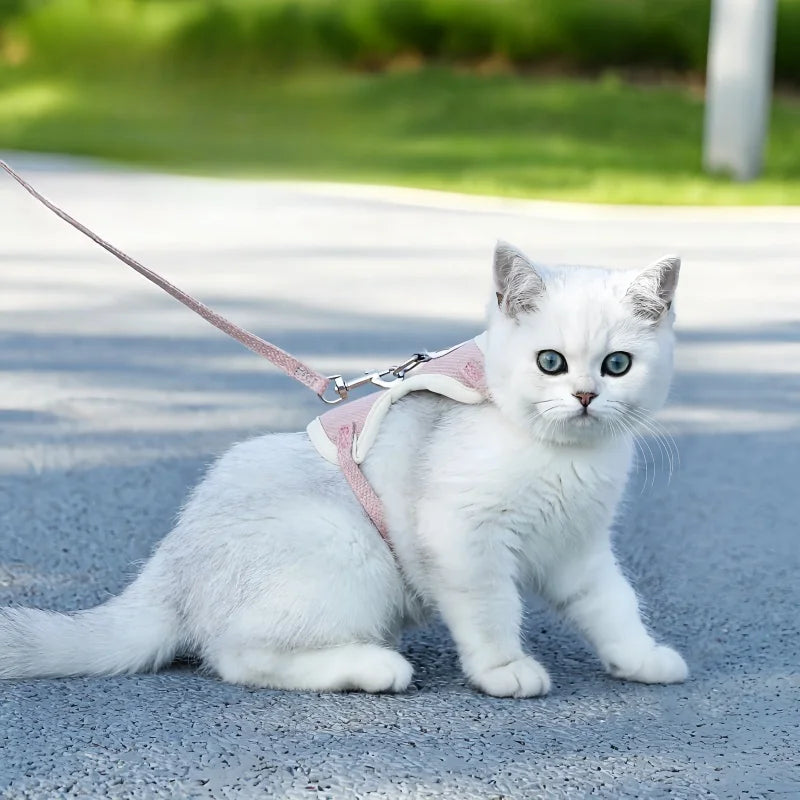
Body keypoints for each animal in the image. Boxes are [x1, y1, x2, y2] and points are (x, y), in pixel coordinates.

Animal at [0, 242, 688, 692]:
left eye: (618, 365)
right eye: (550, 362)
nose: (586, 396)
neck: (561, 455)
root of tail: (172, 564)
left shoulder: (579, 547)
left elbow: (612, 603)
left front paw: (640, 657)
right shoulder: (463, 537)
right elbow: (493, 607)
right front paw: (502, 670)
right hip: (347, 546)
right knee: (239, 657)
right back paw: (371, 666)